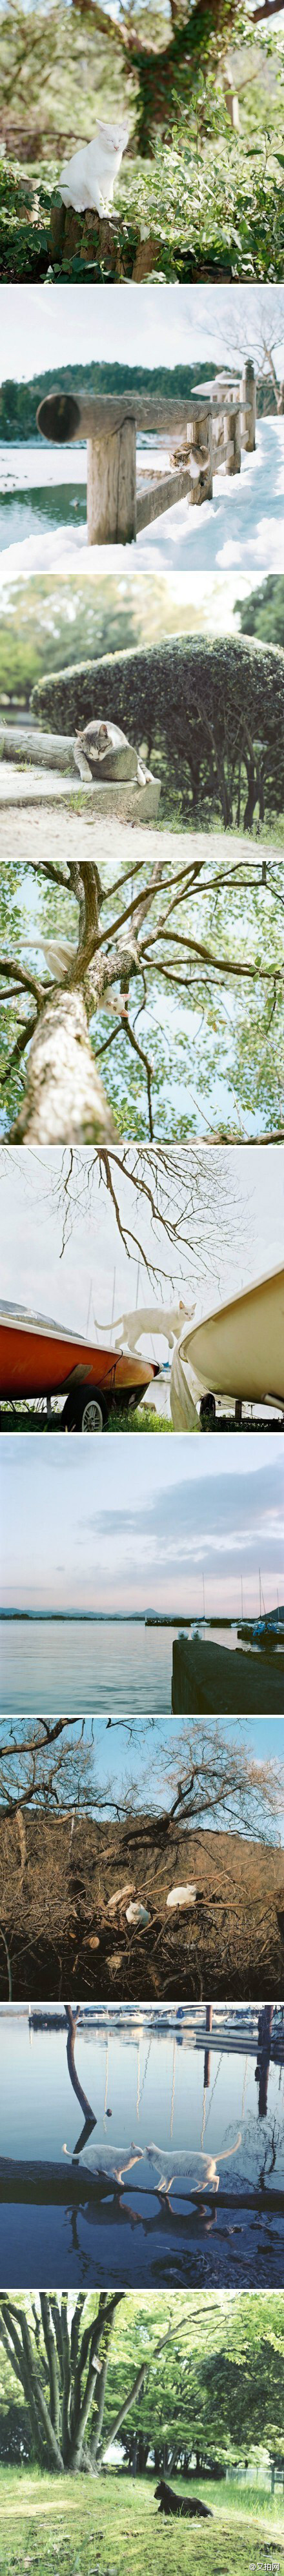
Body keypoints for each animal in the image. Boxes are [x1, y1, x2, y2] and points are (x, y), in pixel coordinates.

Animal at [60, 123, 130, 219]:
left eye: (120, 140)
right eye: (110, 140)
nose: (116, 147)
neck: (110, 157)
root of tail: (87, 205)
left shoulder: (109, 182)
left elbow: (109, 198)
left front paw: (111, 212)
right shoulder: (91, 180)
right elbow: (98, 198)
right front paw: (104, 213)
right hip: (64, 188)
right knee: (72, 203)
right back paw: (79, 206)